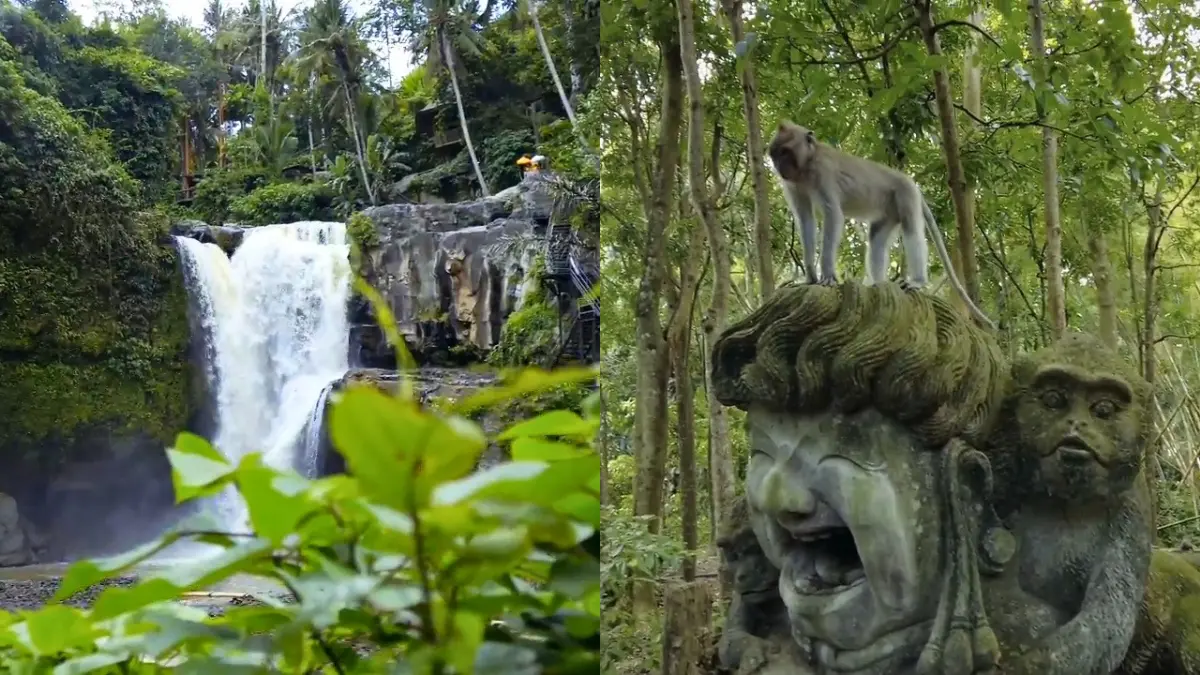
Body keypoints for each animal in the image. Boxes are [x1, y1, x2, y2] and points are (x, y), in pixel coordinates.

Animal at [766, 120, 995, 331]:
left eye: (785, 152)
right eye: (775, 155)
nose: (779, 167)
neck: (808, 163)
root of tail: (907, 179)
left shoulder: (823, 172)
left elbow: (833, 216)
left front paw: (828, 276)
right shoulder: (793, 184)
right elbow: (805, 219)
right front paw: (810, 276)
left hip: (905, 194)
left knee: (912, 231)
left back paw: (917, 281)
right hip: (889, 211)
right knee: (876, 238)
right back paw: (877, 285)